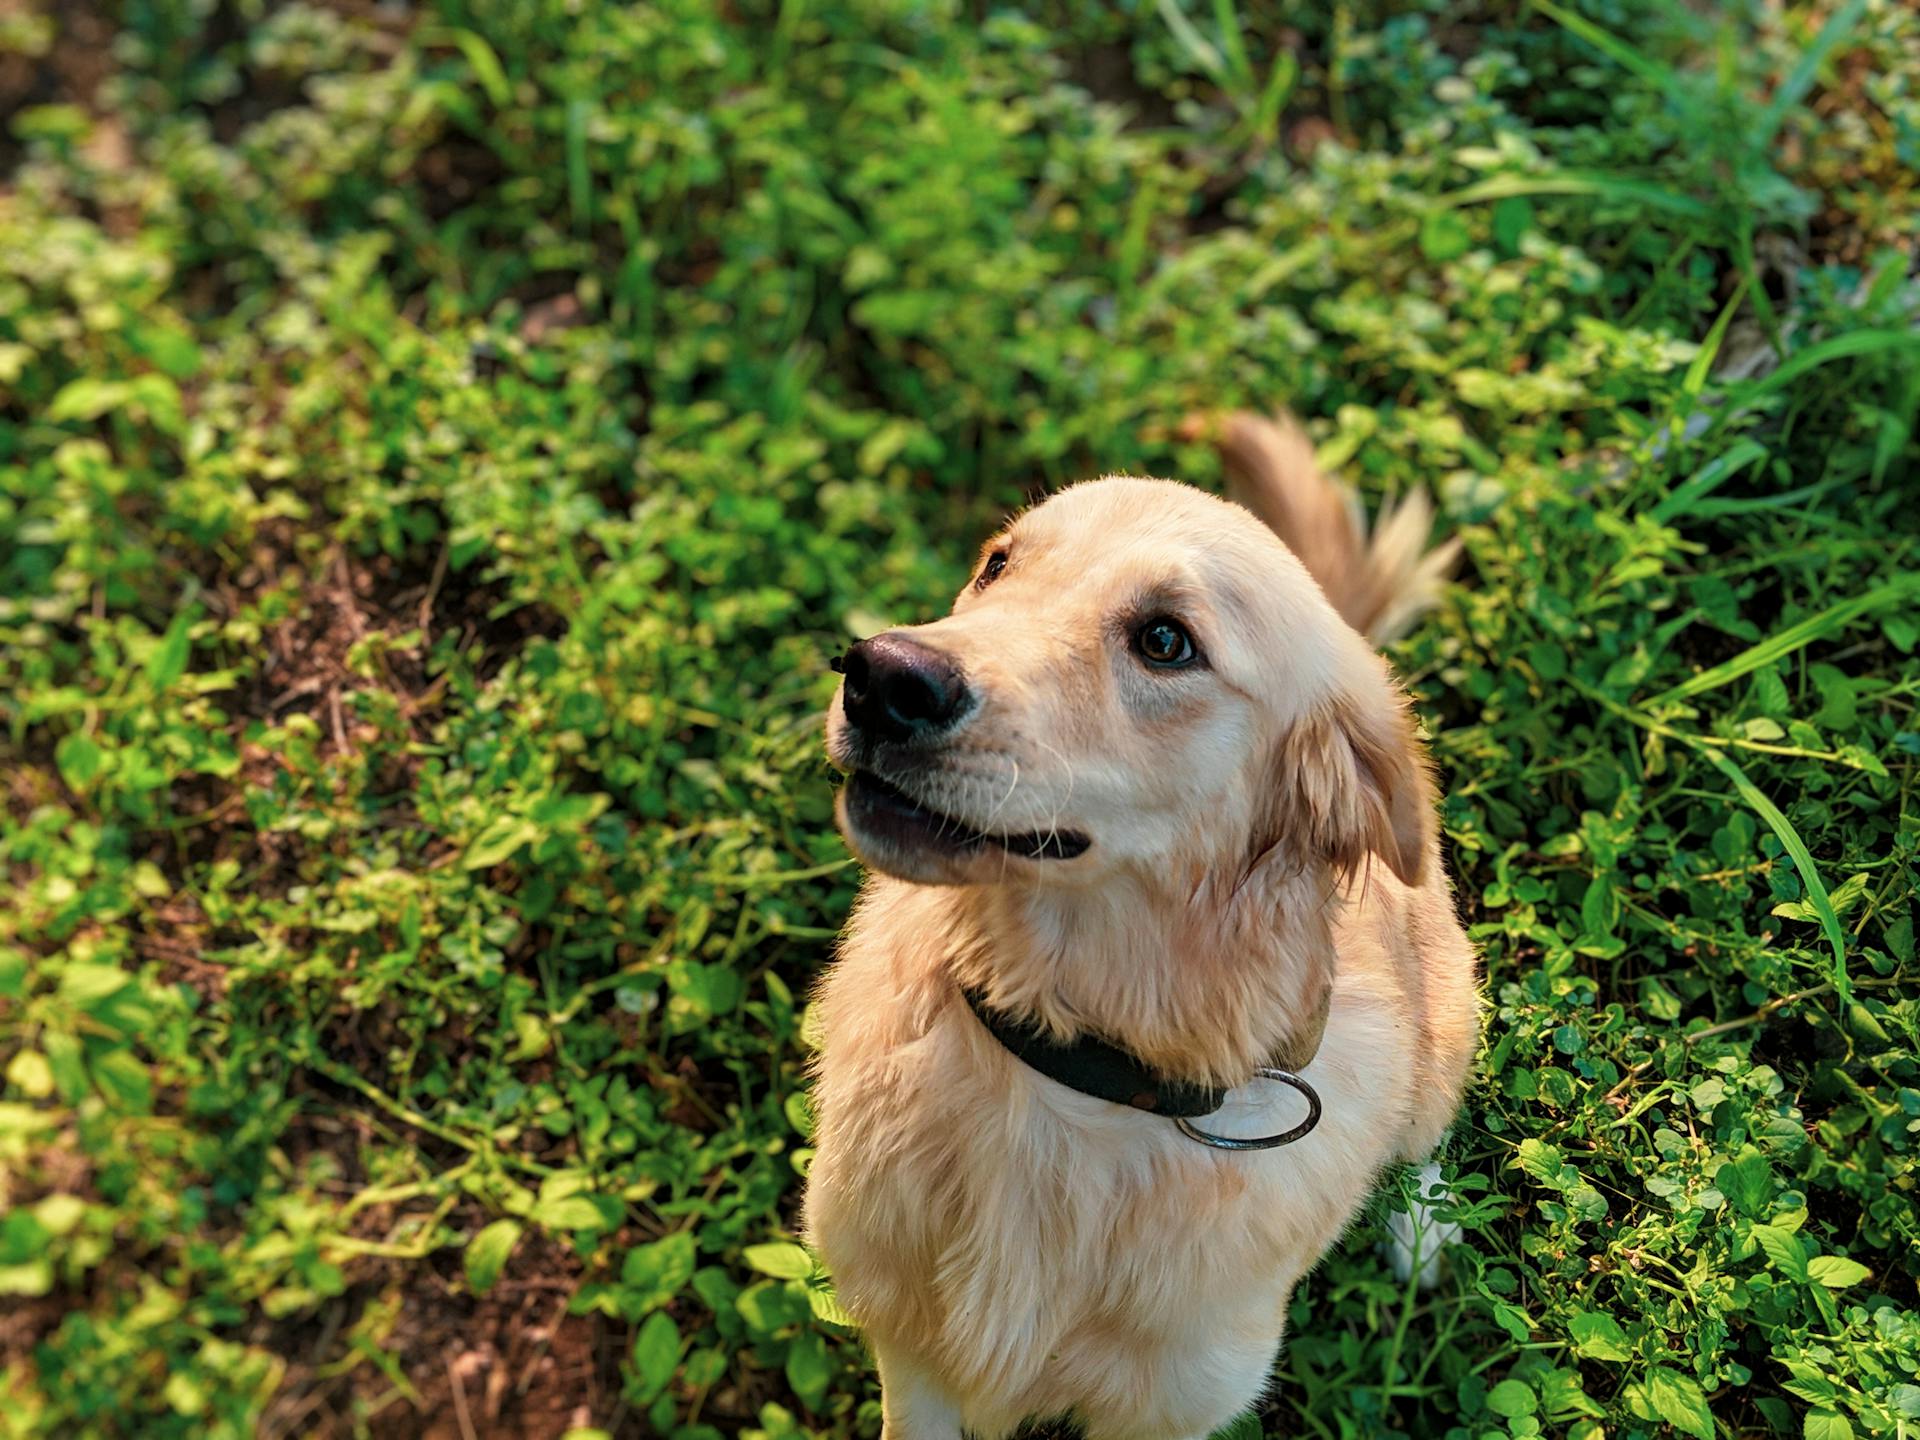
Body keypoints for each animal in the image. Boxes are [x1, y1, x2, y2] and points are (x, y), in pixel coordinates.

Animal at [802, 410, 1474, 1436]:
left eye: (1165, 640)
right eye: (998, 565)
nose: (879, 676)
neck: (1065, 1077)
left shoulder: (1174, 1403)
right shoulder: (910, 1361)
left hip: (1447, 1032)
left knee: (1423, 1143)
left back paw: (1422, 1234)